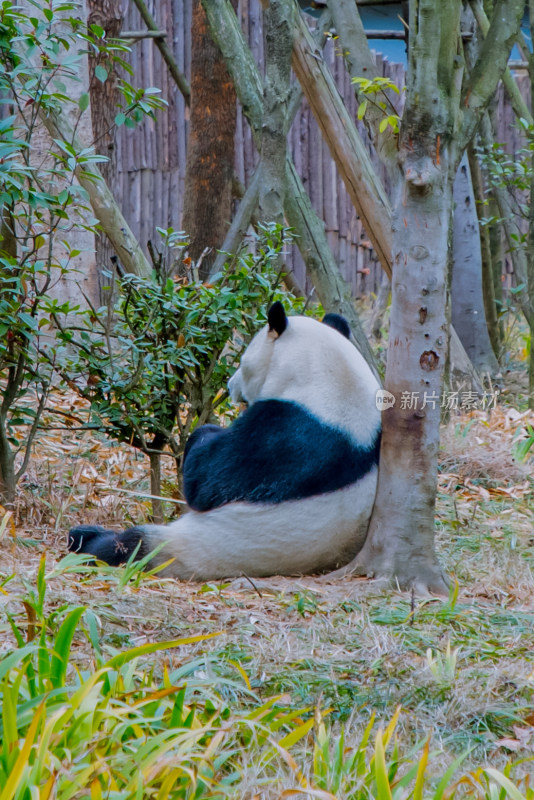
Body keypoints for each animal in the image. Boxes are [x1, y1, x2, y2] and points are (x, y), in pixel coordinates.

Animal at [69, 304, 384, 580]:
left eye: (242, 363)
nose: (230, 386)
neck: (329, 374)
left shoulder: (288, 434)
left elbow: (208, 481)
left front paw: (204, 433)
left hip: (190, 548)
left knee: (127, 547)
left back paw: (84, 542)